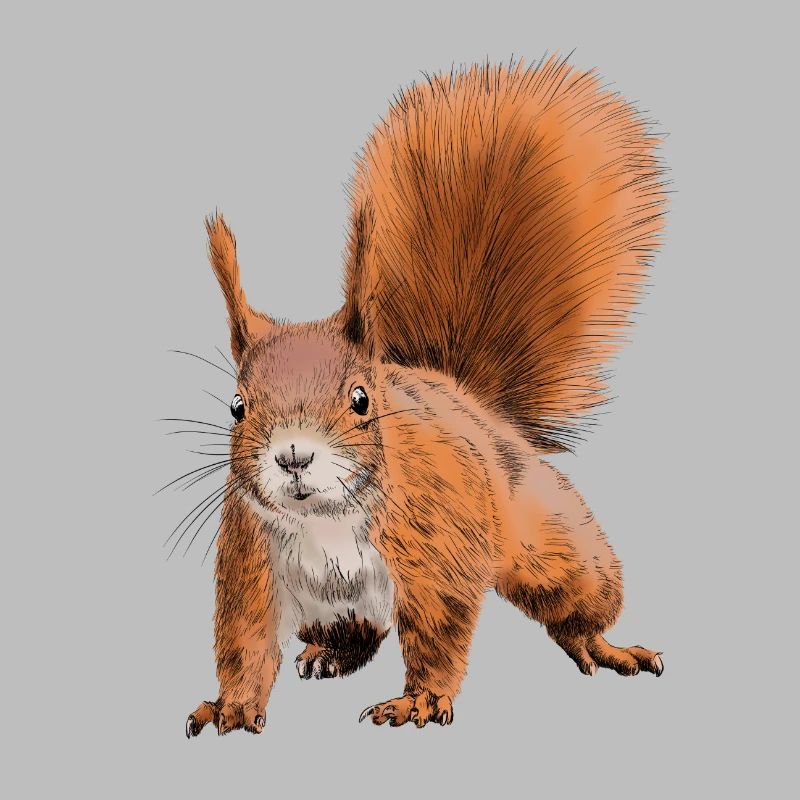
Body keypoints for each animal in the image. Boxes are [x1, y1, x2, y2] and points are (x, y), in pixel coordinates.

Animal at [182, 56, 667, 737]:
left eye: (362, 399)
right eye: (237, 406)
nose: (293, 456)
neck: (325, 521)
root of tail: (464, 394)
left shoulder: (438, 541)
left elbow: (439, 627)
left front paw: (418, 702)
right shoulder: (251, 558)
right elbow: (244, 639)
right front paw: (230, 705)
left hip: (550, 539)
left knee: (575, 595)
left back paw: (602, 644)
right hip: (331, 607)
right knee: (357, 632)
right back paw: (327, 653)